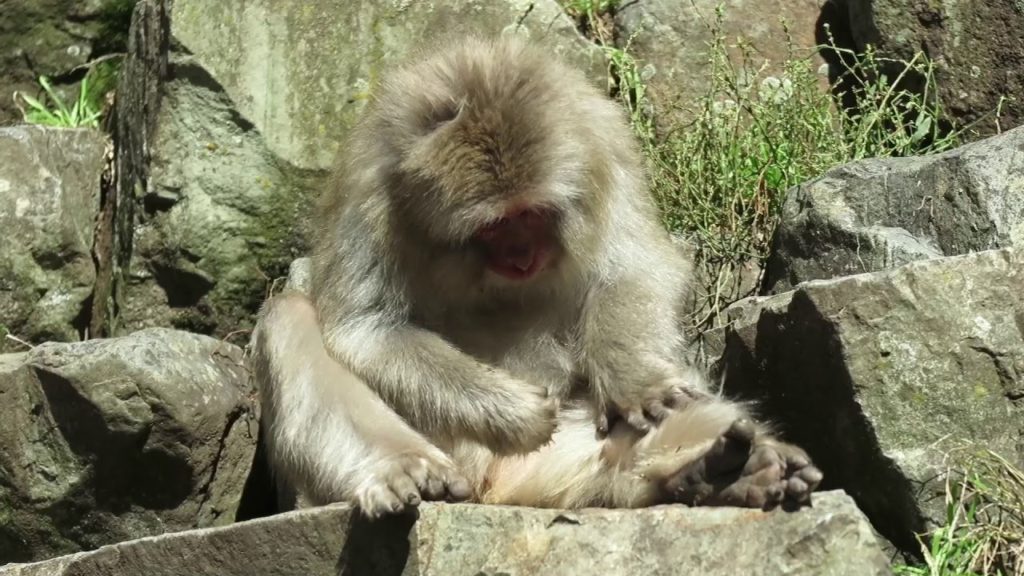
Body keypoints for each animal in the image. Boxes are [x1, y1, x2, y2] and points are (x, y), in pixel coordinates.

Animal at [251, 36, 822, 518]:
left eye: (531, 214)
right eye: (495, 225)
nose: (522, 257)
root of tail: (495, 486)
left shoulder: (602, 143)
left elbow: (634, 265)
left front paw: (633, 380)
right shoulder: (367, 185)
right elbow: (365, 328)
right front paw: (513, 412)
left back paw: (722, 473)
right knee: (290, 314)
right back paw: (402, 469)